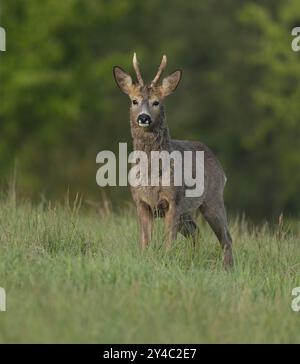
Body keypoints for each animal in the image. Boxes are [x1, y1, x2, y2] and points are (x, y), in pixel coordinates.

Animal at [113, 53, 233, 268]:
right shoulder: (140, 202)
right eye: (134, 101)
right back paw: (194, 261)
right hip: (189, 213)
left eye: (156, 102)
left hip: (213, 199)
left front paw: (166, 261)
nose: (143, 118)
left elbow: (169, 241)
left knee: (226, 237)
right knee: (196, 232)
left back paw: (227, 268)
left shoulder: (173, 200)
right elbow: (145, 241)